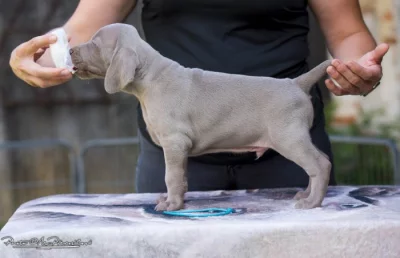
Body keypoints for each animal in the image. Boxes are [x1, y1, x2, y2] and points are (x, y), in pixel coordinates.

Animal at [71, 23, 332, 211]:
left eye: (94, 43)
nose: (71, 50)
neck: (151, 79)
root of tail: (296, 83)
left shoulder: (175, 142)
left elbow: (171, 176)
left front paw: (171, 205)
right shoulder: (180, 148)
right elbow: (181, 178)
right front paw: (177, 201)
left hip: (288, 137)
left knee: (320, 164)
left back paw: (312, 203)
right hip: (297, 137)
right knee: (318, 162)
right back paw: (307, 194)